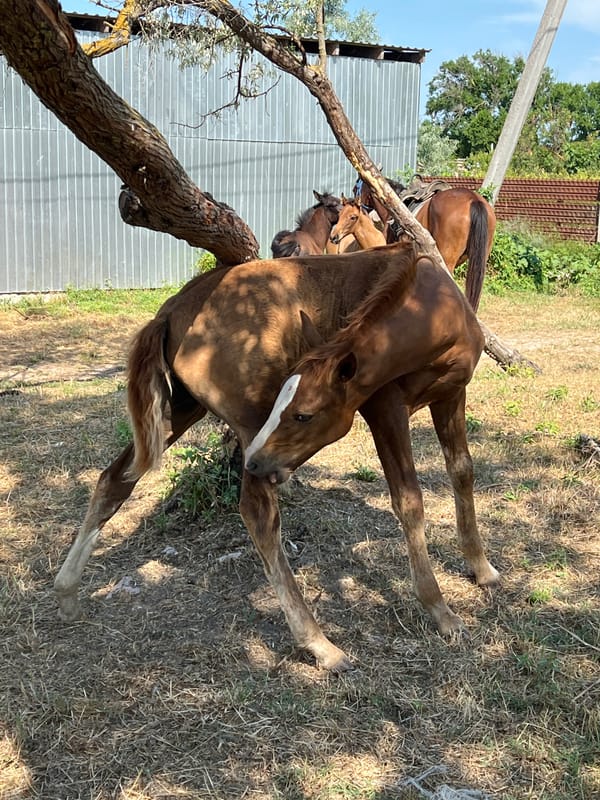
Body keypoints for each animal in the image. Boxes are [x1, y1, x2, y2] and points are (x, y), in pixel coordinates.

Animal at [55, 242, 499, 672]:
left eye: (303, 414)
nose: (254, 461)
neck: (432, 308)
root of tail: (172, 309)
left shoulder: (451, 395)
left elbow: (462, 472)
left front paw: (482, 568)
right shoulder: (384, 408)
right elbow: (409, 501)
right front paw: (441, 611)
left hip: (180, 411)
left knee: (115, 479)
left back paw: (66, 591)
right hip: (246, 425)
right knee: (258, 514)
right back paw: (320, 644)